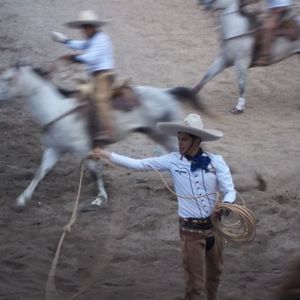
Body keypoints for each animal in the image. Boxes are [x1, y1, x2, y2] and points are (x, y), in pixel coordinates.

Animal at [0, 65, 202, 211]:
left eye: (8, 79)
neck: (56, 109)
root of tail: (167, 93)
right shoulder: (55, 149)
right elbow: (40, 172)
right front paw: (22, 199)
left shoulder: (84, 148)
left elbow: (94, 170)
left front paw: (101, 198)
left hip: (167, 136)